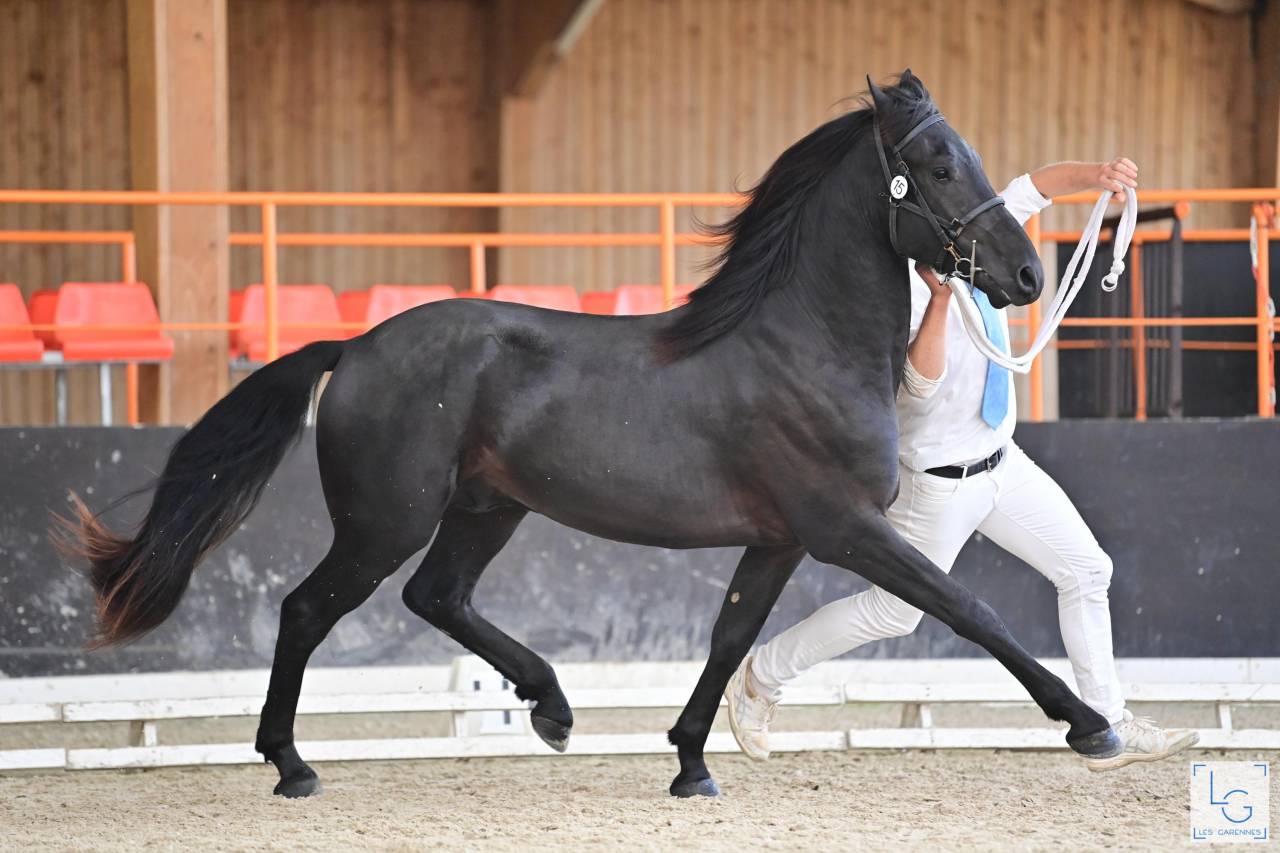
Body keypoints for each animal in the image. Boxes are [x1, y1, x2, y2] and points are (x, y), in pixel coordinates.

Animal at [63, 70, 1121, 800]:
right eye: (940, 165)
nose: (1029, 275)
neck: (799, 345)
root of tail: (357, 343)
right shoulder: (844, 529)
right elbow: (970, 610)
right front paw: (1088, 724)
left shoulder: (780, 538)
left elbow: (731, 634)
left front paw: (692, 762)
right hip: (384, 520)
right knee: (305, 610)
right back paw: (292, 764)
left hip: (484, 509)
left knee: (436, 596)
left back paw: (552, 707)